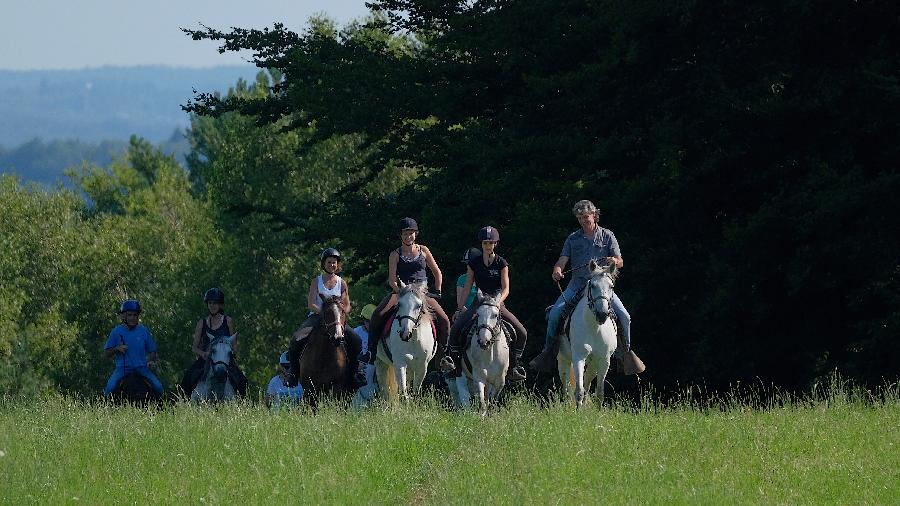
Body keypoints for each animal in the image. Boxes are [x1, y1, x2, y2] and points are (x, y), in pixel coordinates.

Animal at [556, 258, 620, 410]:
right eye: (593, 286)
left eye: (611, 287)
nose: (602, 314)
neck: (594, 328)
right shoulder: (579, 357)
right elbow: (578, 390)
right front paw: (578, 412)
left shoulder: (604, 360)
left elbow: (599, 392)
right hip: (563, 360)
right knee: (566, 386)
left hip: (593, 364)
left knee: (587, 382)